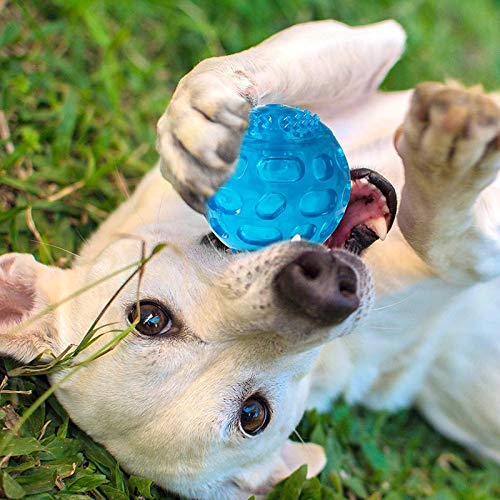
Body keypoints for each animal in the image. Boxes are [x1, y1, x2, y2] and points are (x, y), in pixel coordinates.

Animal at [0, 19, 500, 500]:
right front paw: (447, 165)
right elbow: (444, 238)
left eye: (149, 319)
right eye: (254, 414)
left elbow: (217, 72)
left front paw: (197, 119)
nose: (319, 287)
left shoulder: (359, 48)